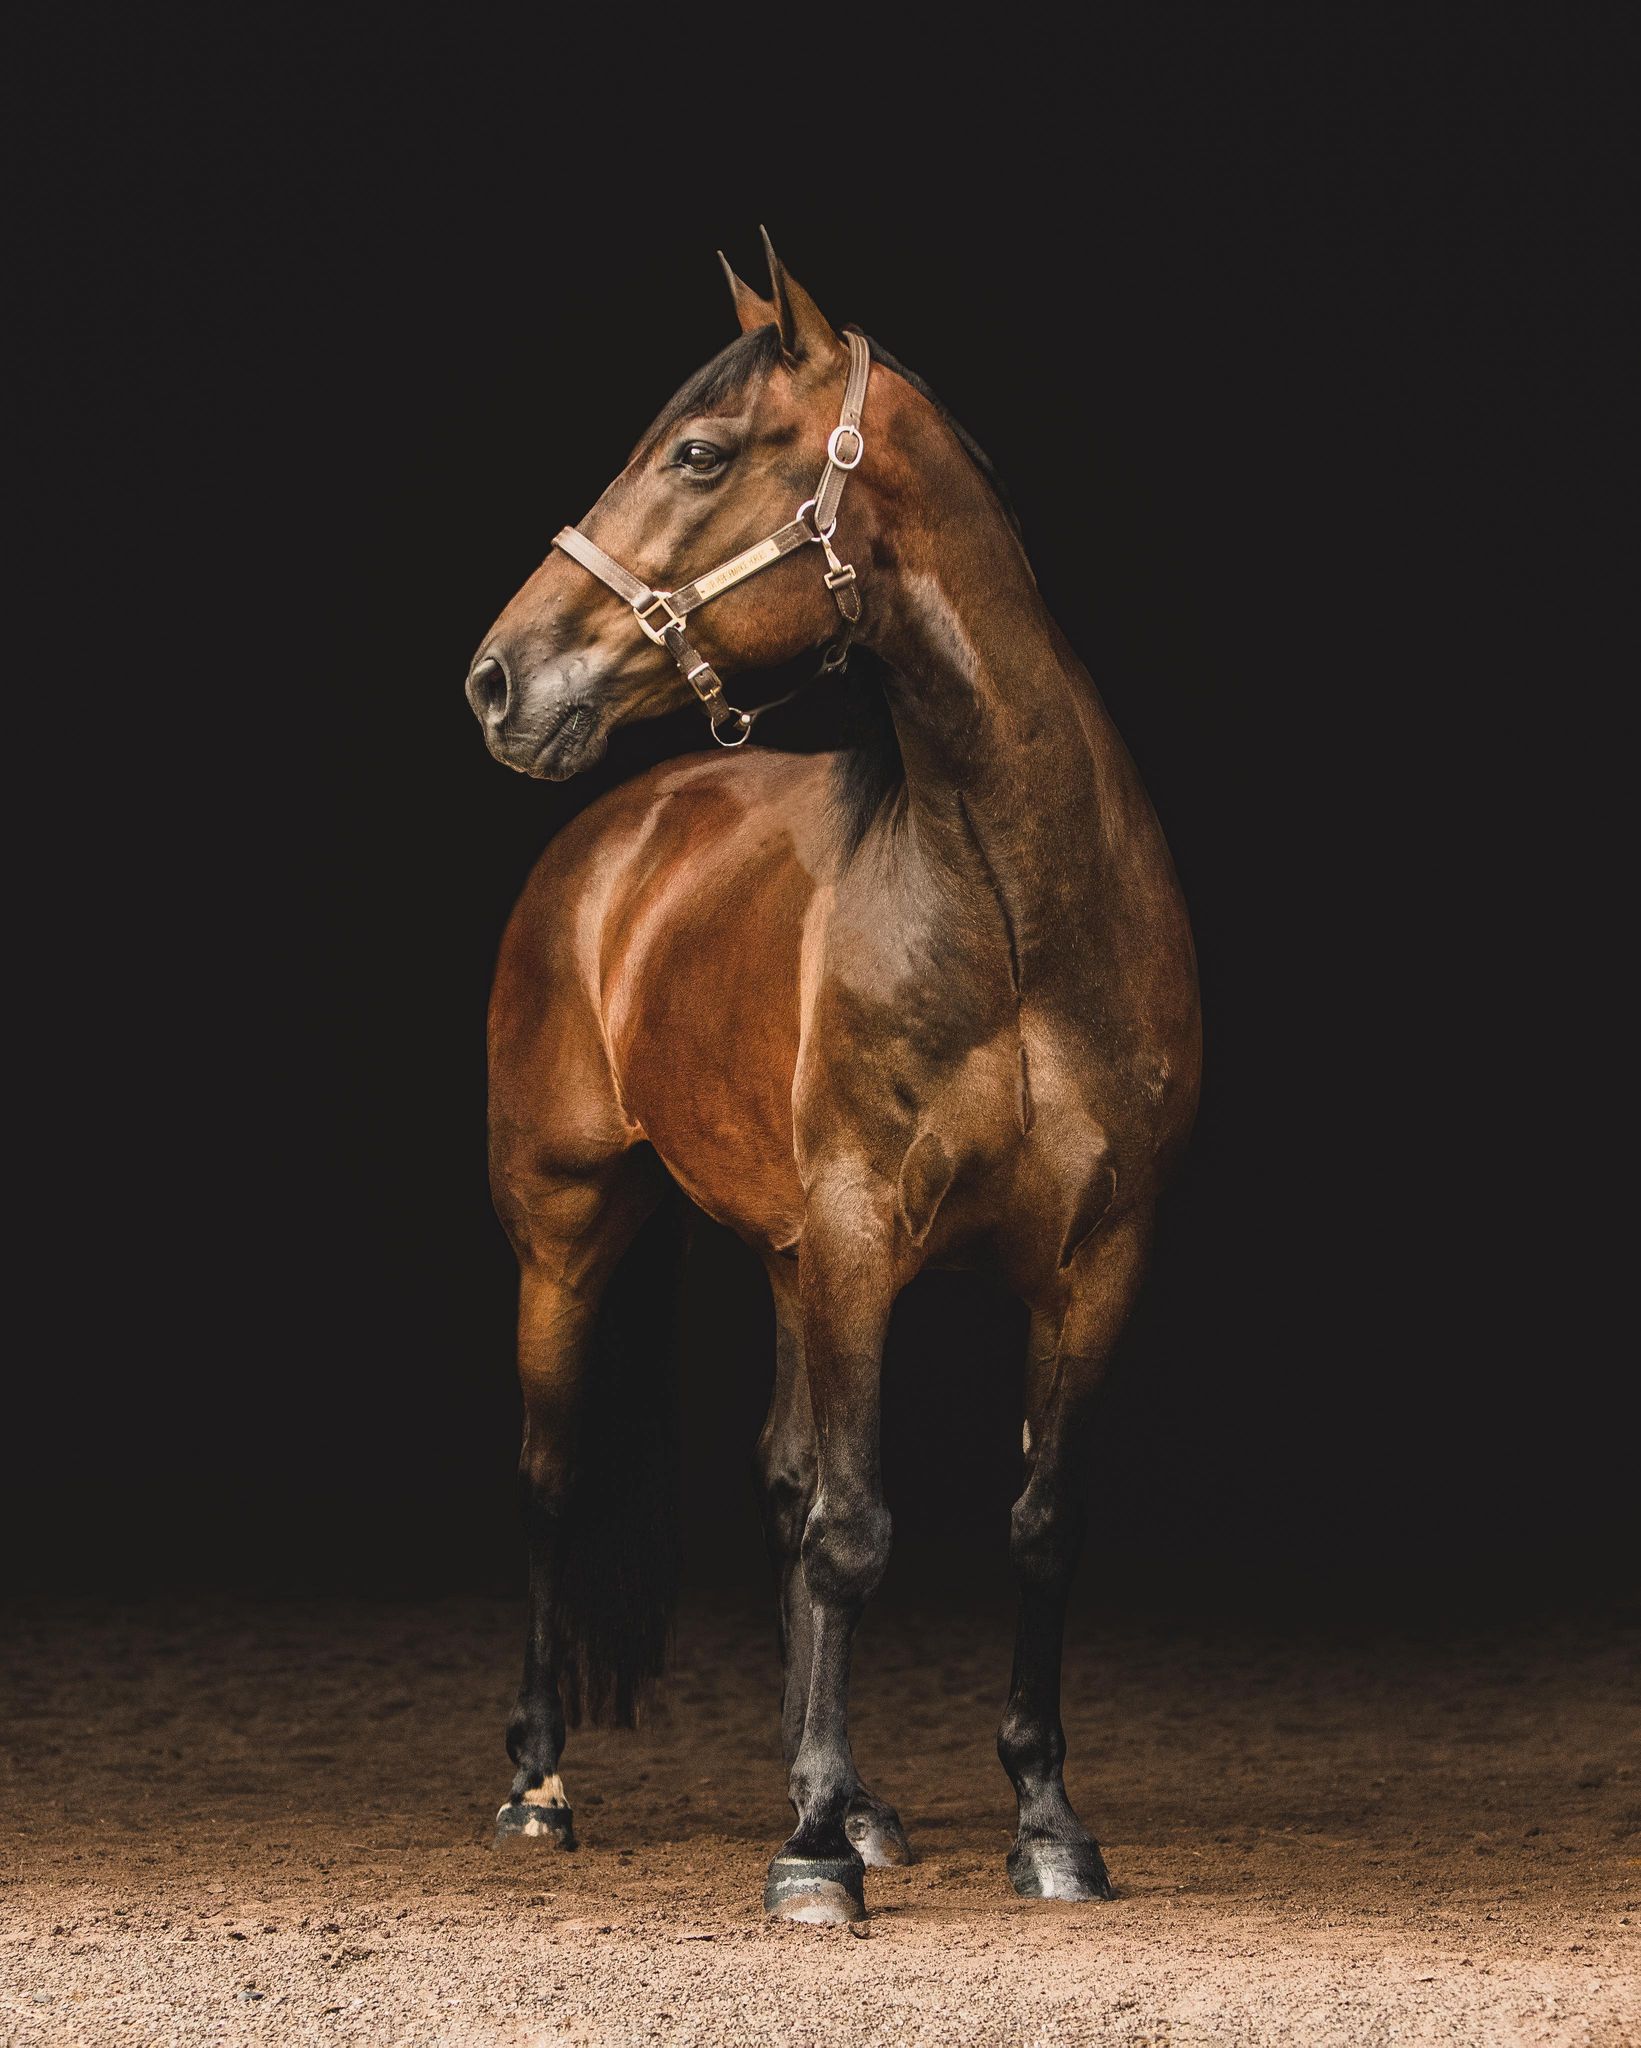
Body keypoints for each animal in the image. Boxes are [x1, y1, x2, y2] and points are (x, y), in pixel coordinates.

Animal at [464, 231, 1200, 1924]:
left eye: (696, 452)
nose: (496, 681)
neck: (1014, 905)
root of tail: (616, 834)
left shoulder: (1093, 1258)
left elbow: (1033, 1525)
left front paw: (1041, 1822)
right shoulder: (866, 1231)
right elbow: (856, 1532)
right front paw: (806, 1857)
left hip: (788, 1261)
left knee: (785, 1483)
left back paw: (854, 1798)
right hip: (568, 1236)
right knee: (550, 1475)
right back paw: (542, 1788)